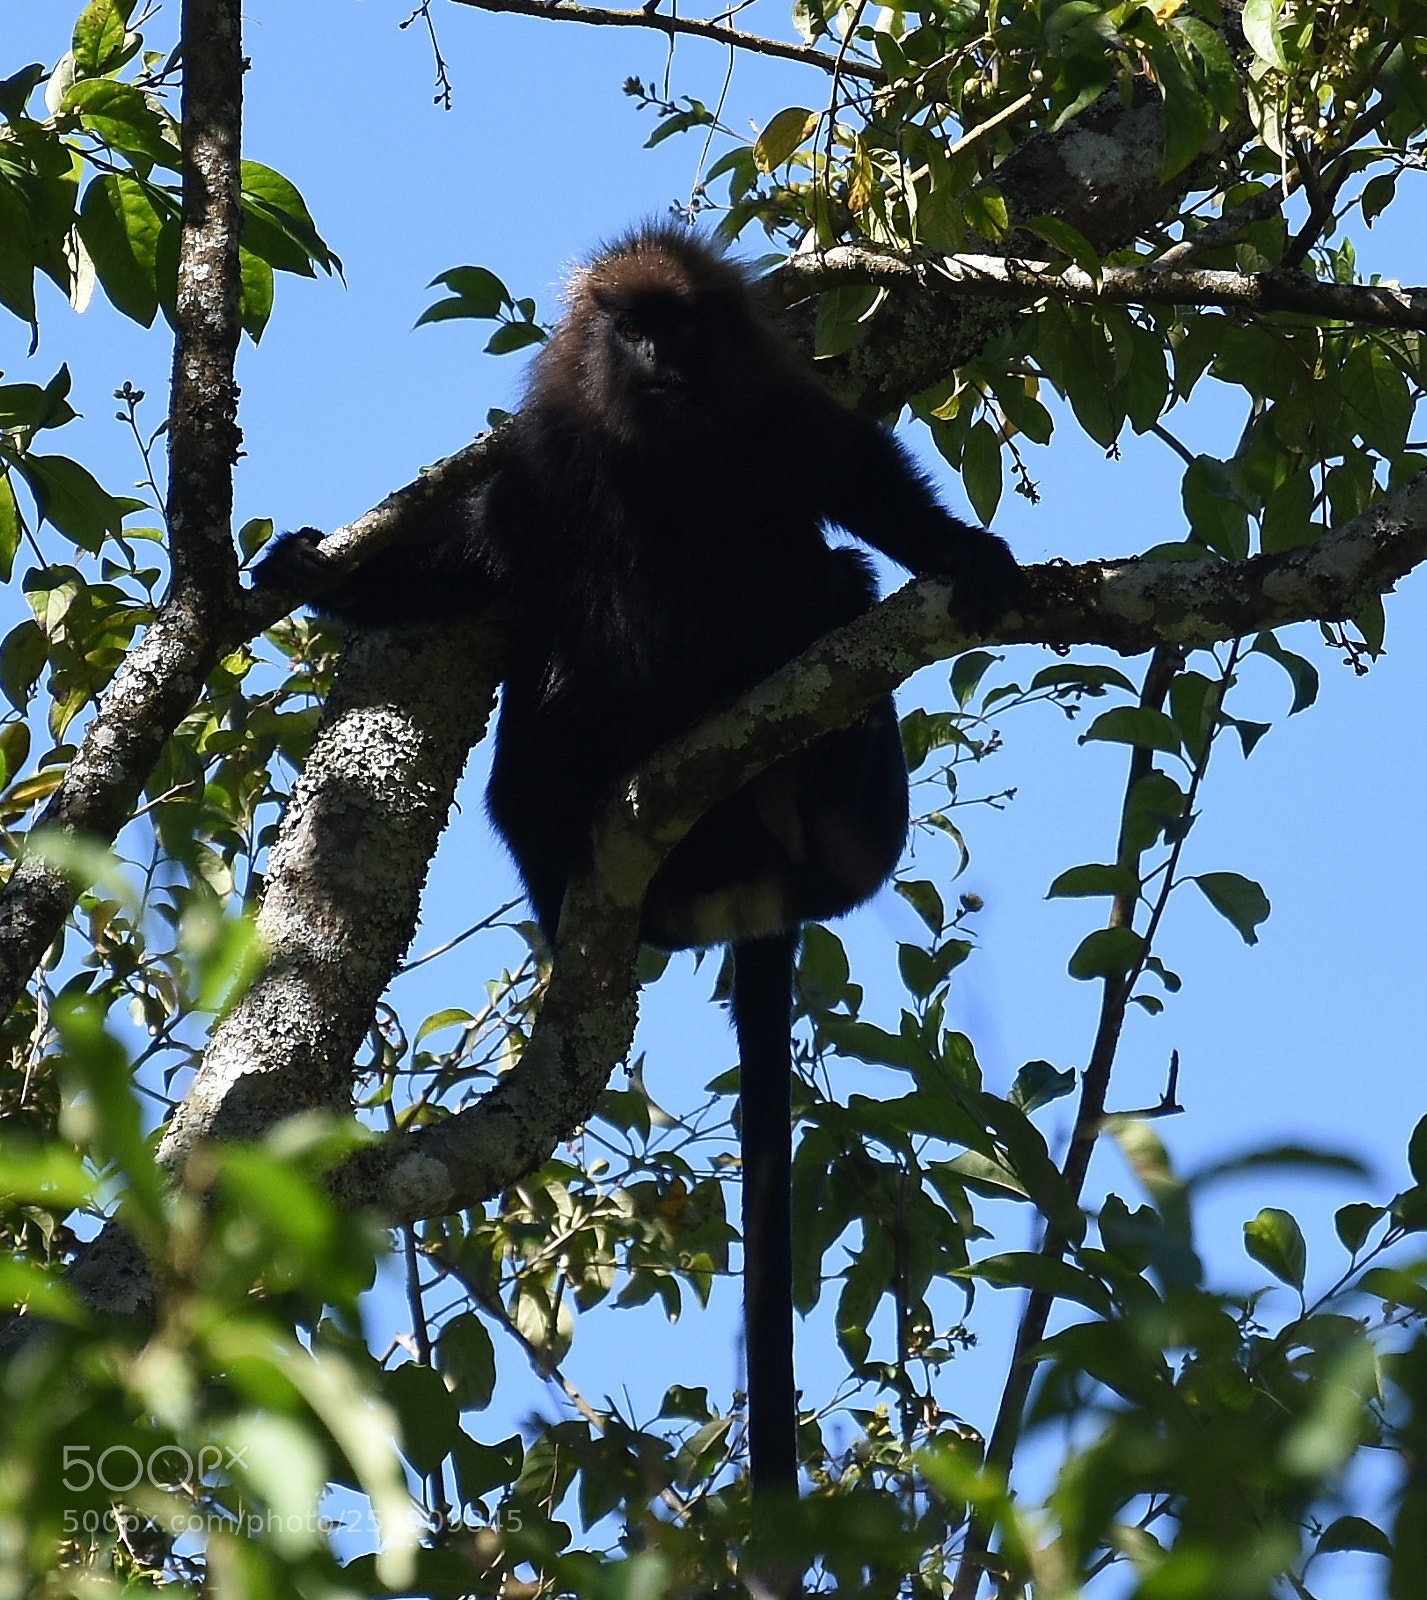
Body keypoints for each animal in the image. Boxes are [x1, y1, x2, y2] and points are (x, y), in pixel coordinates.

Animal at [255, 224, 1019, 1537]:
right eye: (630, 330)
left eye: (682, 326)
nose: (656, 356)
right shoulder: (545, 462)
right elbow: (485, 561)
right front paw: (324, 578)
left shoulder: (780, 413)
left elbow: (862, 484)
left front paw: (964, 551)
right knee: (540, 693)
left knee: (836, 587)